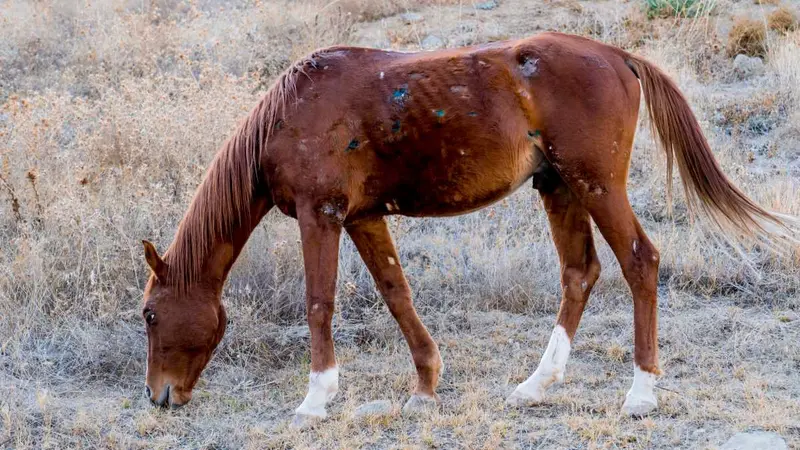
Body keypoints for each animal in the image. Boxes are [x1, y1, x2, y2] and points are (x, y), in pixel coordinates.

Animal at [139, 32, 798, 425]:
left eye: (148, 315)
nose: (158, 396)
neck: (290, 114)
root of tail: (617, 56)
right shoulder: (363, 217)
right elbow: (396, 294)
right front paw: (426, 384)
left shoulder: (319, 214)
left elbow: (319, 302)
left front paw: (315, 399)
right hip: (559, 188)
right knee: (579, 273)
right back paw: (536, 384)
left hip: (597, 186)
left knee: (640, 261)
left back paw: (640, 393)